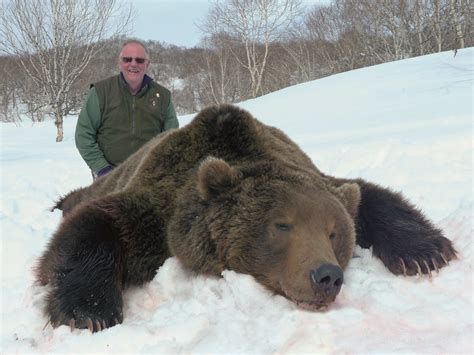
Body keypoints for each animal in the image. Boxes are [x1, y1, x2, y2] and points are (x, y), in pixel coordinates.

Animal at [36, 104, 456, 332]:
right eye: (282, 224)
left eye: (334, 233)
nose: (327, 276)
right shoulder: (155, 209)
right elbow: (94, 227)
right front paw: (89, 311)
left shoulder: (316, 175)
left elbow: (369, 195)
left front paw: (426, 252)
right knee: (77, 200)